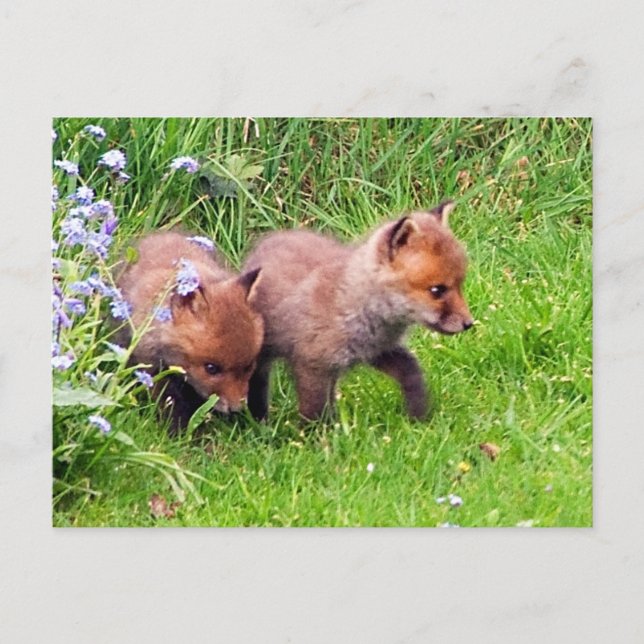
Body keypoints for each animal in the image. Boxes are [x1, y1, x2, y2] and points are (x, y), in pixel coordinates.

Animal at [115, 231, 263, 430]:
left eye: (248, 367)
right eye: (211, 368)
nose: (236, 409)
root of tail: (161, 235)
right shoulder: (152, 368)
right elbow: (171, 404)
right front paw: (180, 432)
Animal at [242, 201, 473, 422]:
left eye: (460, 284)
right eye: (437, 290)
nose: (469, 324)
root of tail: (268, 240)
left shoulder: (379, 351)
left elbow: (412, 372)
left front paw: (418, 416)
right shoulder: (312, 363)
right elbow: (313, 411)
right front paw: (314, 436)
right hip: (260, 354)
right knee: (257, 385)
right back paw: (260, 420)